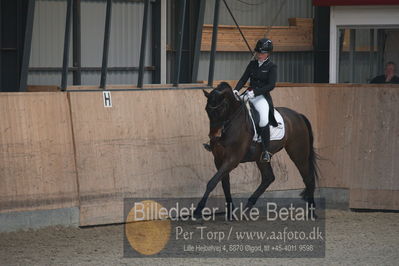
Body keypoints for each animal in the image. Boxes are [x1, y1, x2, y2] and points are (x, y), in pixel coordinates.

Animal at [195, 81, 320, 218]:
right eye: (207, 109)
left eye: (221, 109)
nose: (214, 136)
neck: (231, 123)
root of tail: (298, 115)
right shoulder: (218, 159)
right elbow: (224, 184)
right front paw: (230, 212)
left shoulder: (233, 159)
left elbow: (212, 182)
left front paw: (198, 210)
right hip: (261, 157)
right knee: (268, 177)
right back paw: (247, 208)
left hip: (298, 153)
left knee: (308, 178)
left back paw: (312, 212)